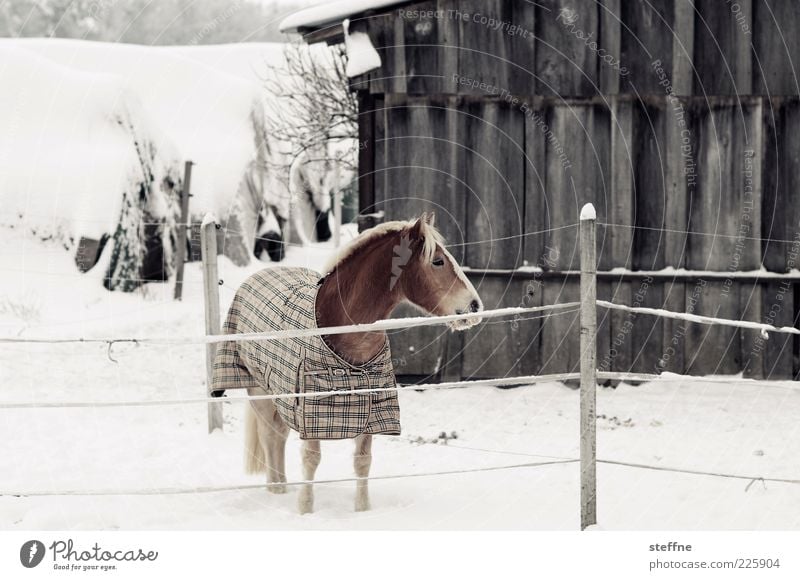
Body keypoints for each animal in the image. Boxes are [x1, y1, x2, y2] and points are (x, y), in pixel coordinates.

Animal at [244, 214, 482, 512]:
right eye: (437, 261)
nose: (475, 306)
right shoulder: (311, 410)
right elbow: (311, 458)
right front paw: (305, 509)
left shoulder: (370, 408)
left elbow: (362, 461)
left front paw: (362, 510)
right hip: (260, 391)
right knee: (269, 436)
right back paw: (275, 492)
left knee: (278, 436)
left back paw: (281, 488)